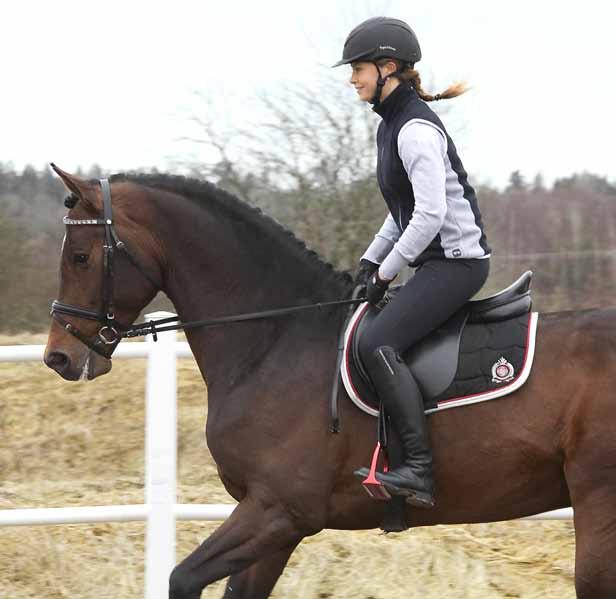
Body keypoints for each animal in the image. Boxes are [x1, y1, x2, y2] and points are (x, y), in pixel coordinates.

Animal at [45, 165, 616, 599]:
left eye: (80, 257)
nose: (59, 356)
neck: (276, 338)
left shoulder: (279, 511)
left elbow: (182, 579)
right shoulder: (272, 526)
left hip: (598, 508)